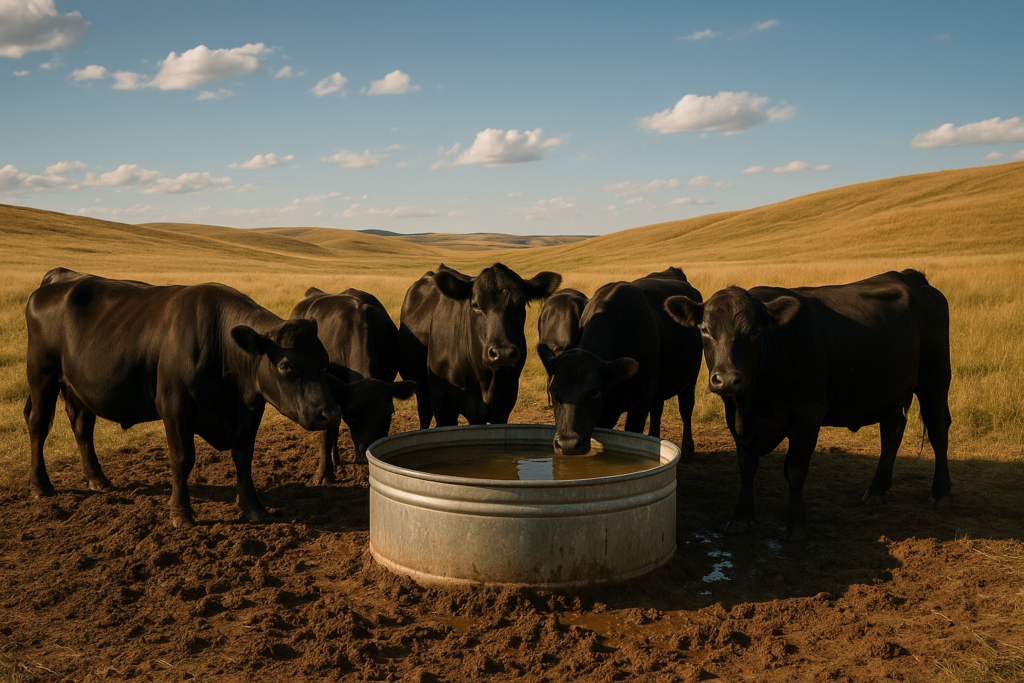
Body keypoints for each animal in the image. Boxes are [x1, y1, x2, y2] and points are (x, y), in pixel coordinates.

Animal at [24, 268, 341, 528]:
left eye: (324, 361)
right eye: (286, 366)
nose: (330, 413)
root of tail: (60, 279)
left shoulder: (249, 411)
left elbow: (244, 458)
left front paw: (254, 508)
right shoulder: (174, 407)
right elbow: (182, 459)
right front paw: (181, 513)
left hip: (77, 387)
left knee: (82, 427)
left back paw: (97, 479)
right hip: (41, 375)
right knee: (38, 424)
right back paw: (40, 485)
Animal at [398, 263, 561, 428]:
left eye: (521, 304)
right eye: (475, 305)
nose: (502, 354)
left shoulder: (505, 404)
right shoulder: (442, 404)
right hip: (422, 389)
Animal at [537, 267, 703, 457]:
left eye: (594, 391)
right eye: (553, 391)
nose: (568, 444)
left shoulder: (641, 400)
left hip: (691, 378)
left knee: (686, 408)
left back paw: (688, 449)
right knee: (657, 410)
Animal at [665, 269, 952, 540]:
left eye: (755, 332)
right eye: (704, 329)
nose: (726, 379)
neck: (755, 403)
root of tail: (910, 277)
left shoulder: (807, 414)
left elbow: (795, 469)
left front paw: (796, 525)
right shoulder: (734, 415)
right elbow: (746, 466)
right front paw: (741, 519)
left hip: (935, 379)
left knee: (938, 430)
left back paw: (940, 493)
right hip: (890, 391)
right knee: (892, 431)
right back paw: (877, 490)